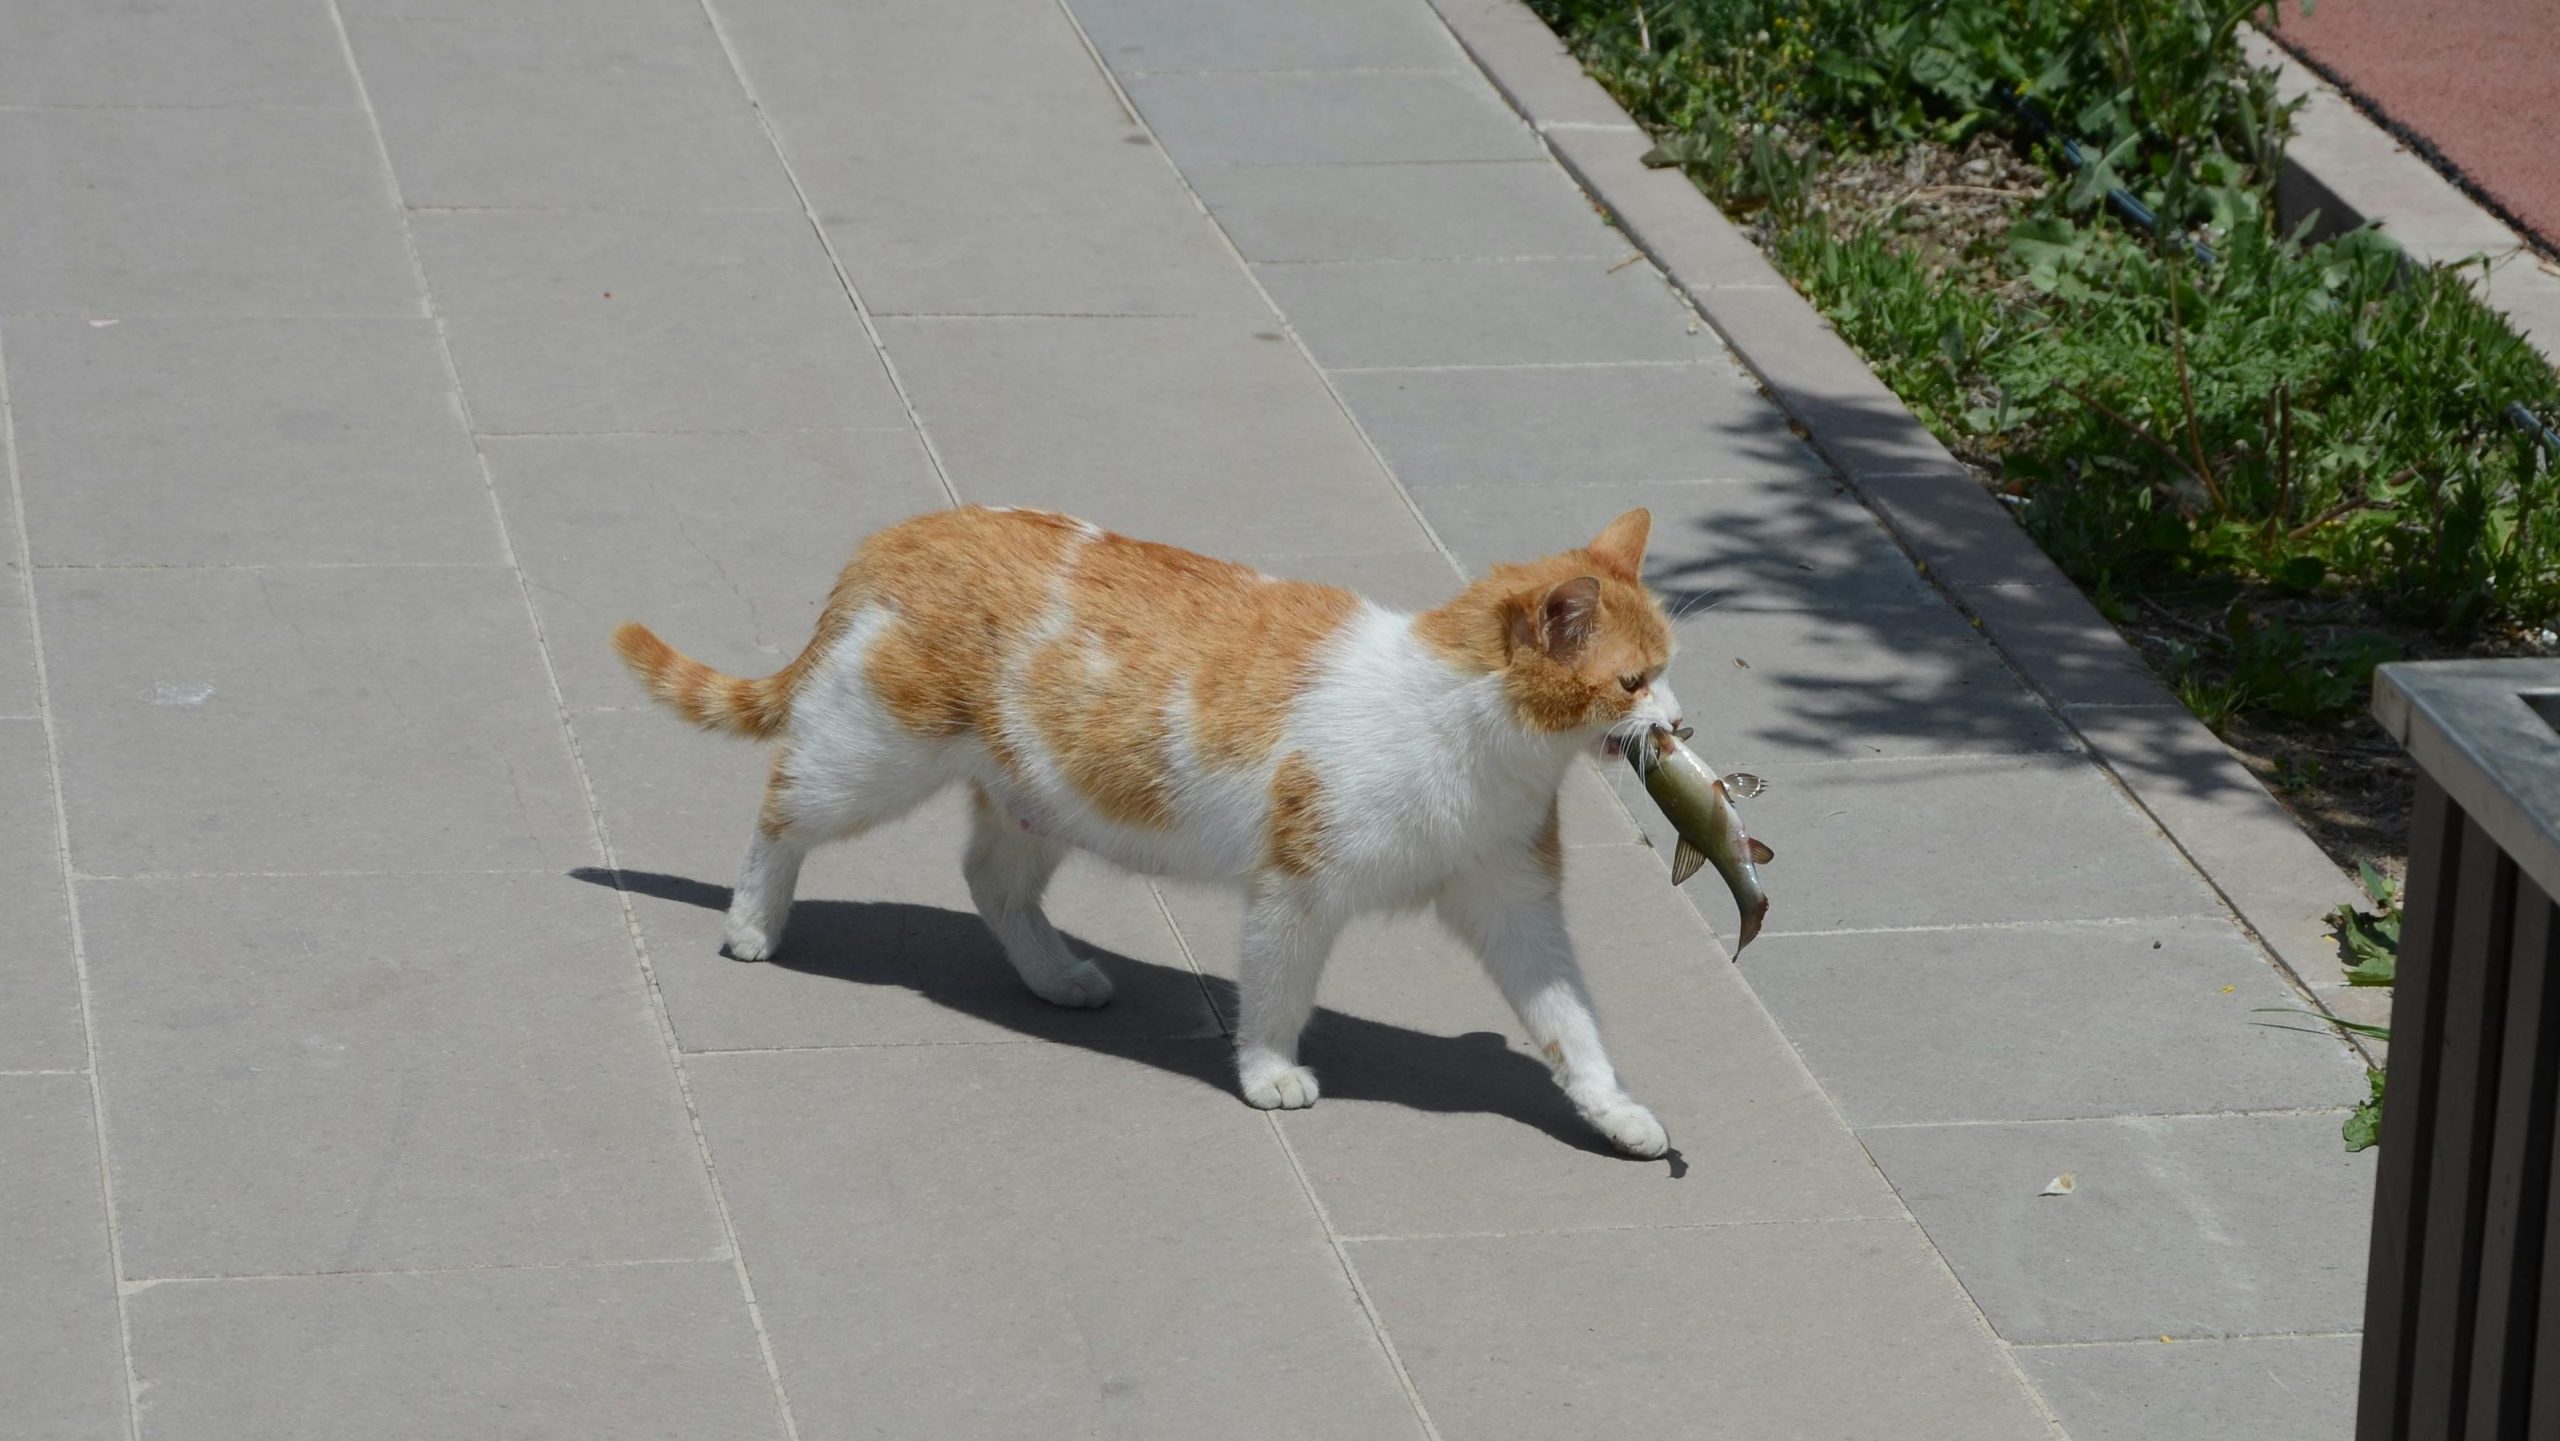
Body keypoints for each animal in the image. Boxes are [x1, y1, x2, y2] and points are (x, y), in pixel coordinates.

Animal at [611, 506, 1689, 1162]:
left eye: (1668, 667)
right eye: (1634, 680)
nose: (1681, 722)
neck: (1474, 739)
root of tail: (909, 530)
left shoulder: (1514, 900)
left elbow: (1570, 1021)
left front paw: (1617, 1112)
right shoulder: (1295, 891)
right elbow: (1278, 994)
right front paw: (1268, 1074)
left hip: (1037, 794)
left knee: (992, 881)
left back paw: (1056, 976)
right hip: (873, 758)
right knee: (780, 807)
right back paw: (752, 923)